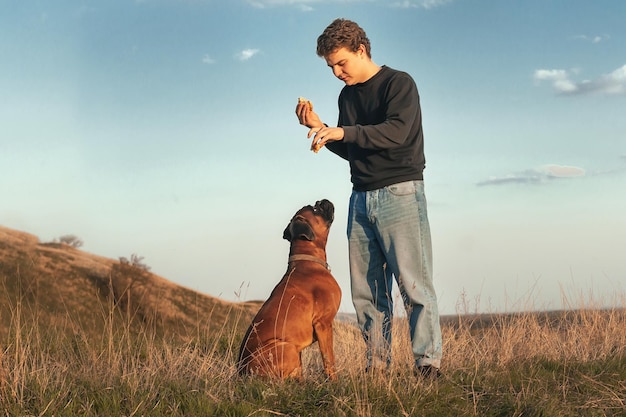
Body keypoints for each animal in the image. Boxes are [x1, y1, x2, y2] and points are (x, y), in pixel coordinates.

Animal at [235, 200, 342, 378]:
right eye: (315, 209)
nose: (323, 201)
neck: (308, 259)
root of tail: (242, 371)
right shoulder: (324, 324)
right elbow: (329, 361)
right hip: (286, 346)